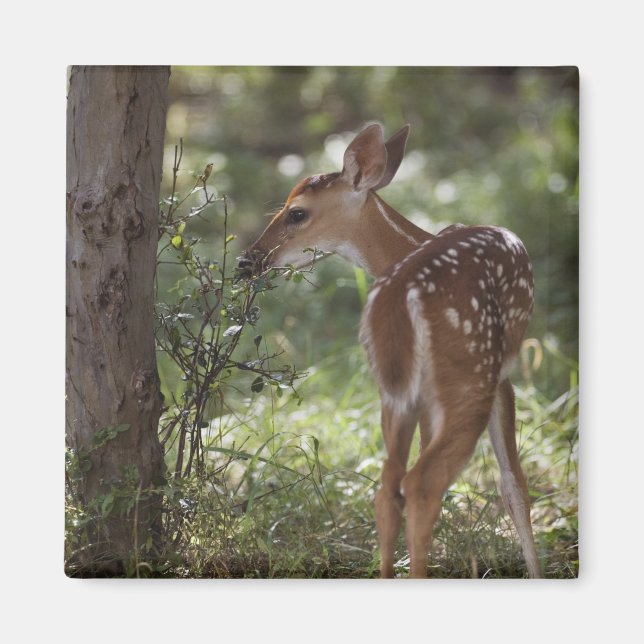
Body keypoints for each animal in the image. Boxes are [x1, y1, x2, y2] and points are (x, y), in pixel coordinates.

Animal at [239, 123, 542, 579]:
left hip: (396, 387)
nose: (247, 261)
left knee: (390, 485)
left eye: (296, 213)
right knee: (421, 481)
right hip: (468, 374)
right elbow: (515, 485)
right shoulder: (503, 375)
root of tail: (403, 297)